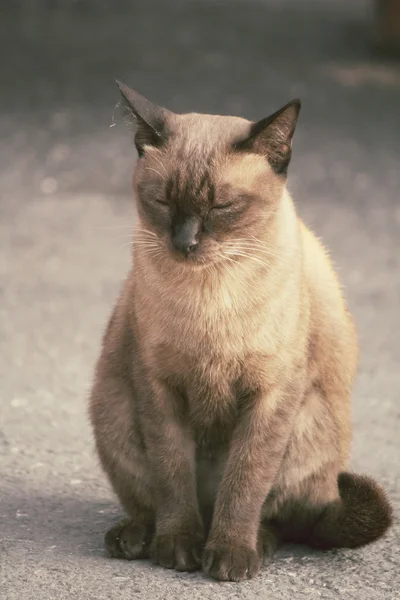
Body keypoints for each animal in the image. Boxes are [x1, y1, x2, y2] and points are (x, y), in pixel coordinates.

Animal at [89, 81, 392, 580]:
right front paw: (178, 548)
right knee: (153, 504)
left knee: (285, 519)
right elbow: (172, 475)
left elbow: (244, 483)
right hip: (113, 409)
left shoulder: (270, 394)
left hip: (305, 430)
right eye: (163, 201)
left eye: (222, 205)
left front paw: (227, 557)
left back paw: (253, 545)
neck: (210, 294)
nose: (185, 242)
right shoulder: (160, 388)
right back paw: (136, 538)